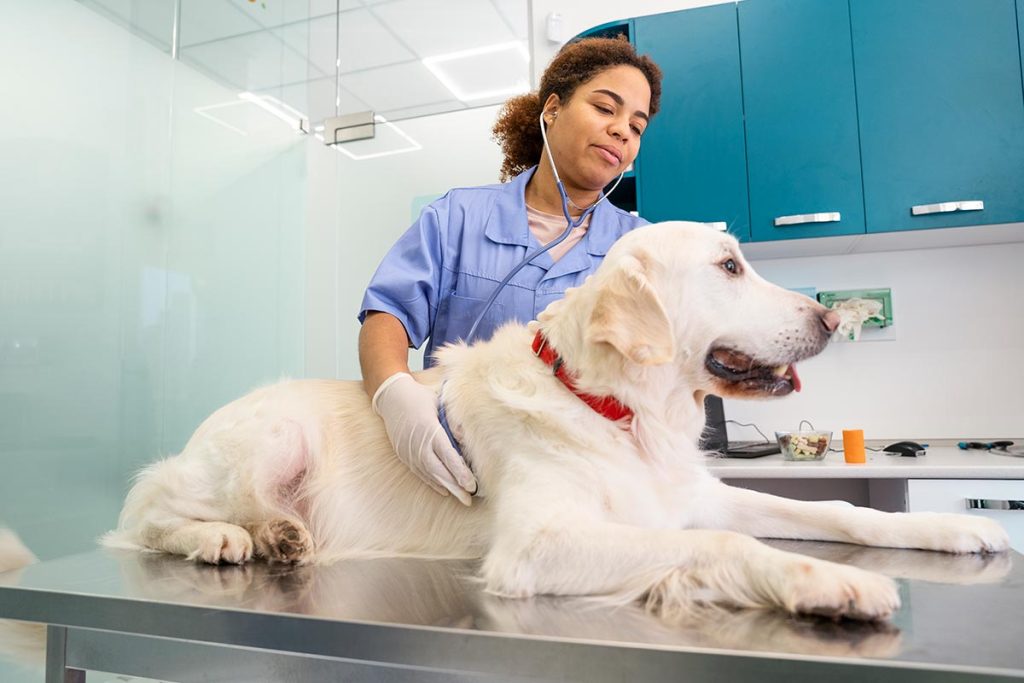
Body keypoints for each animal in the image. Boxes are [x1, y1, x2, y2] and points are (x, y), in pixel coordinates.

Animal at [103, 224, 1007, 626]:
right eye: (728, 265)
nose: (827, 317)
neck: (614, 408)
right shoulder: (537, 544)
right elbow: (723, 545)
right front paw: (831, 582)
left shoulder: (694, 495)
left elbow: (838, 511)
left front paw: (945, 529)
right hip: (270, 435)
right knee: (149, 514)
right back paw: (234, 536)